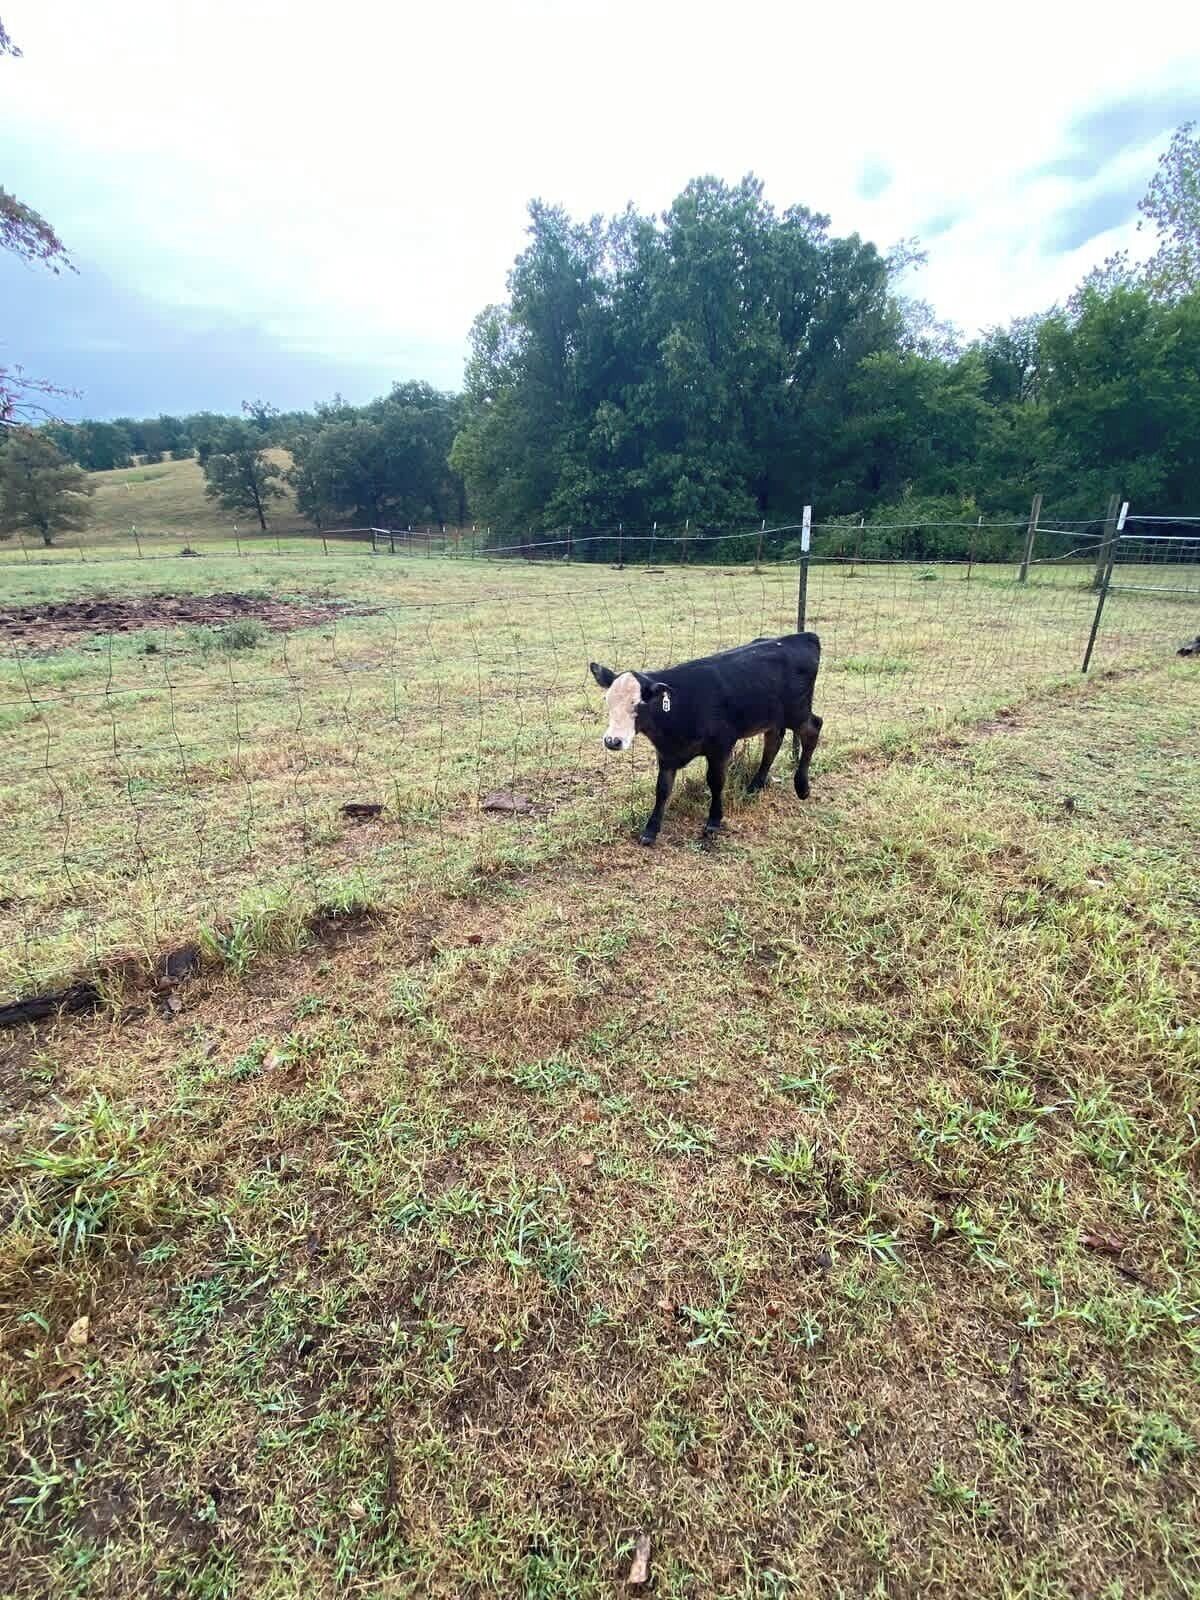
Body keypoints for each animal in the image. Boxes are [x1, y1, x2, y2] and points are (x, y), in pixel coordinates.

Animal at [589, 633, 822, 846]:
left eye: (639, 703)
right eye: (607, 700)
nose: (612, 741)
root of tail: (802, 636)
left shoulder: (720, 746)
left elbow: (715, 781)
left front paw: (714, 821)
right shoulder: (666, 754)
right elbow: (662, 790)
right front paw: (651, 830)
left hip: (797, 711)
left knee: (813, 728)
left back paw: (802, 787)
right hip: (772, 716)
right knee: (773, 741)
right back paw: (755, 786)